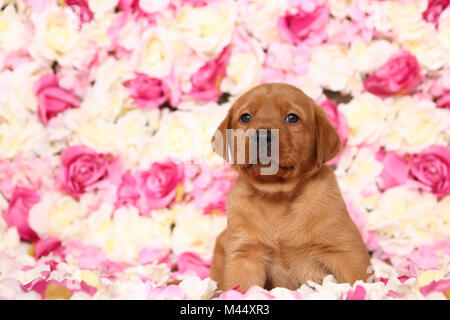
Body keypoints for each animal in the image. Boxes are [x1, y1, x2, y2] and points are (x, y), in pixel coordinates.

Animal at [209, 83, 370, 292]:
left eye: (292, 118)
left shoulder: (346, 251)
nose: (262, 135)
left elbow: (360, 280)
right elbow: (240, 287)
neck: (276, 196)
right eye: (245, 117)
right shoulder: (245, 256)